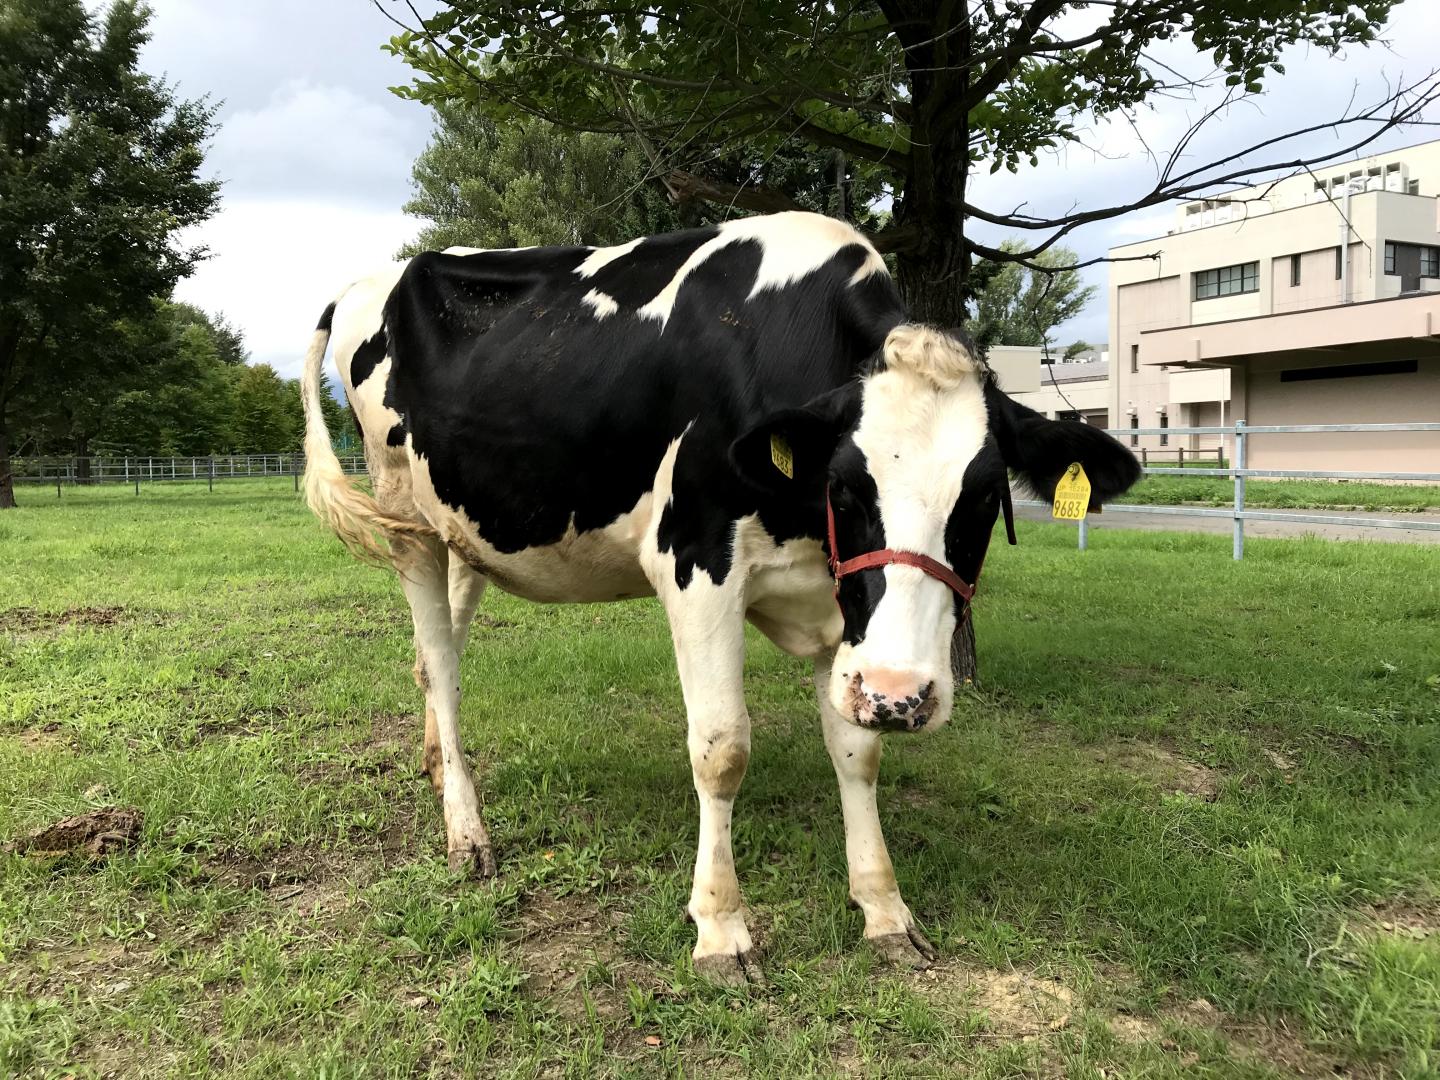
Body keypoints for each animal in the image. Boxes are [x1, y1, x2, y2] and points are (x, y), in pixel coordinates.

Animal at [298, 213, 1140, 990]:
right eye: (844, 486)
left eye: (984, 498)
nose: (901, 697)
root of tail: (368, 282)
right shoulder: (696, 562)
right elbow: (722, 749)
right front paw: (721, 928)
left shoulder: (843, 610)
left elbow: (856, 751)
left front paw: (883, 908)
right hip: (405, 520)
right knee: (441, 667)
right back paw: (466, 833)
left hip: (466, 532)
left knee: (432, 658)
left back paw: (439, 769)